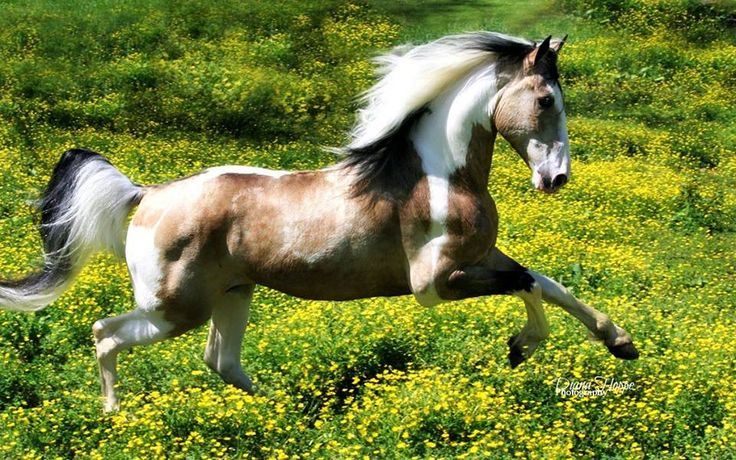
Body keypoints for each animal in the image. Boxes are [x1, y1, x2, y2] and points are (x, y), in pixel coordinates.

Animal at [0, 33, 640, 414]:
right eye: (546, 100)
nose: (557, 177)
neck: (438, 175)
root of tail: (147, 194)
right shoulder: (435, 284)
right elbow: (527, 284)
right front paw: (520, 348)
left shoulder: (478, 259)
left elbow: (547, 282)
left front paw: (620, 343)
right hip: (174, 308)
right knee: (105, 333)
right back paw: (114, 416)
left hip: (233, 294)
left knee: (222, 362)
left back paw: (287, 414)